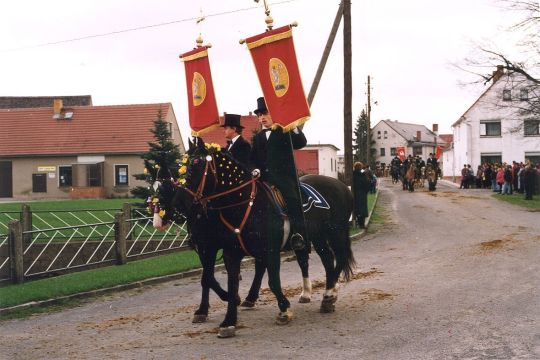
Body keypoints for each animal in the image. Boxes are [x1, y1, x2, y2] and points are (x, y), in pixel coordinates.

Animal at [155, 139, 354, 338]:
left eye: (196, 163)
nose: (178, 202)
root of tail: (342, 185)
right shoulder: (224, 252)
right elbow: (225, 281)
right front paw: (227, 320)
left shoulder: (268, 250)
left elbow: (272, 281)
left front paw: (284, 310)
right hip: (318, 237)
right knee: (326, 258)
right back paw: (323, 292)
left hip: (335, 233)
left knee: (339, 257)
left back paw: (328, 295)